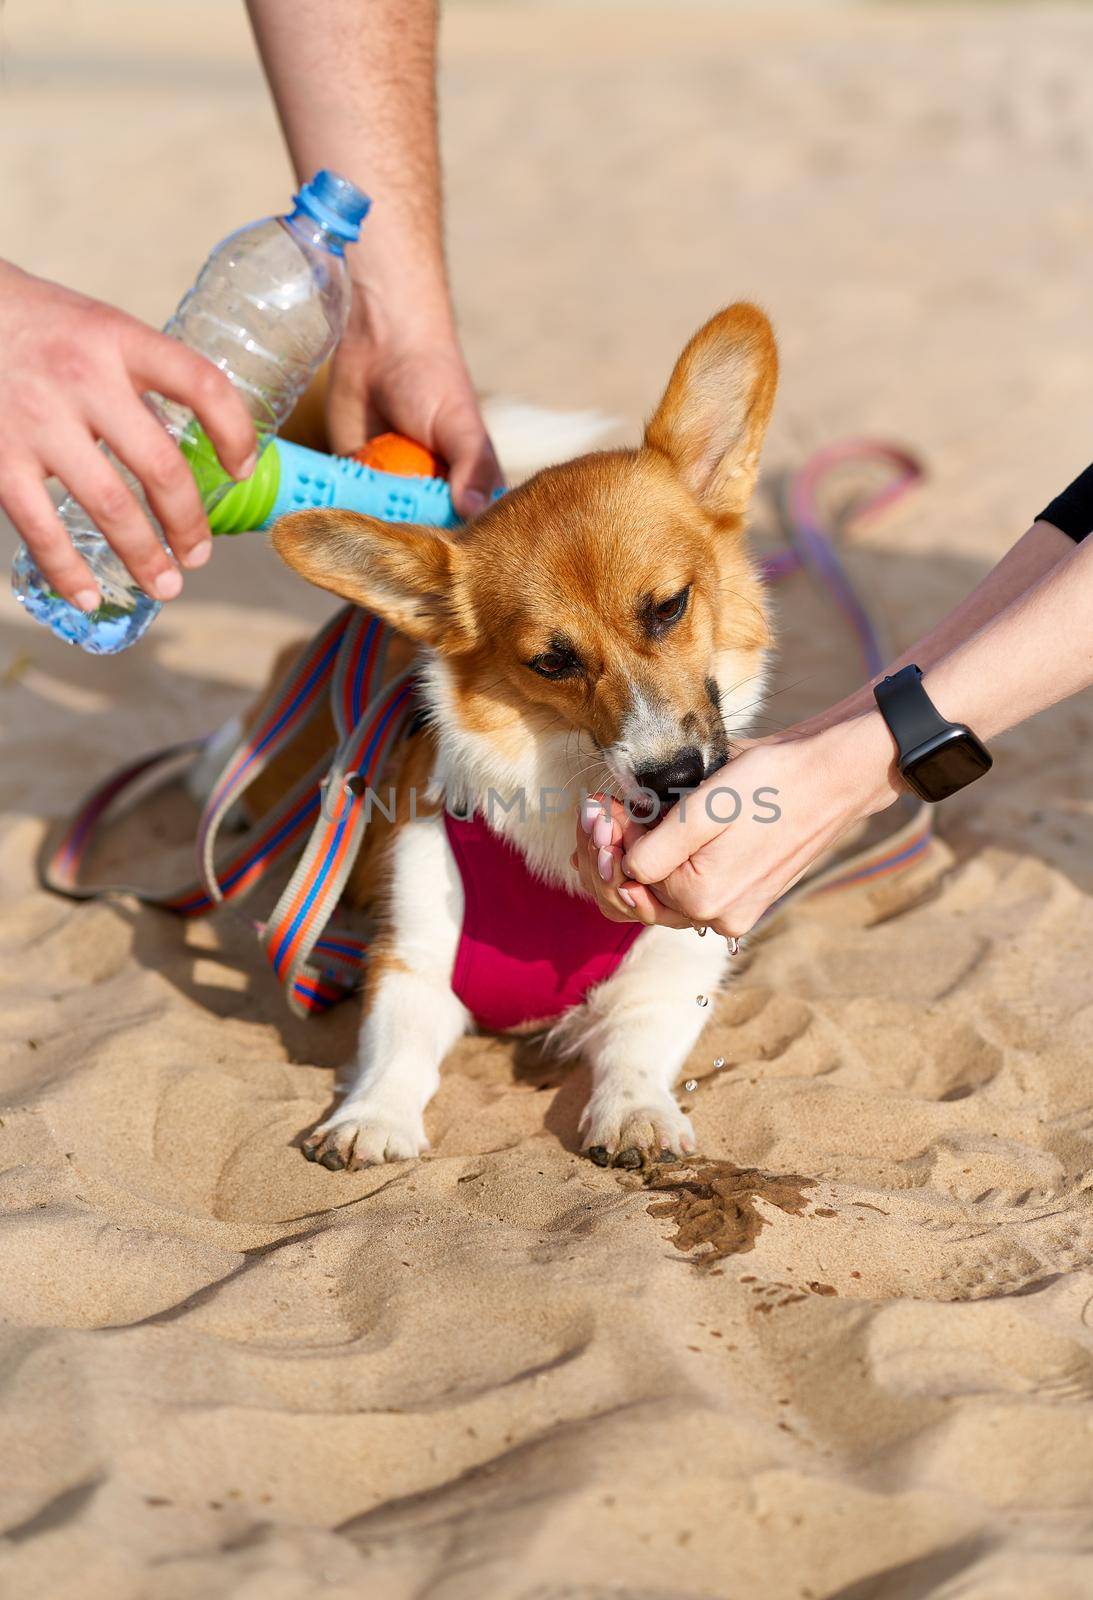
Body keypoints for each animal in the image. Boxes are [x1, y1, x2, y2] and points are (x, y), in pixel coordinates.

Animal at [265, 302, 777, 1177]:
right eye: (552, 661)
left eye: (668, 608)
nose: (673, 775)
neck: (564, 777)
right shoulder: (413, 959)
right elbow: (396, 1051)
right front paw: (370, 1118)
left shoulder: (674, 966)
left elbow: (636, 1048)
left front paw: (636, 1114)